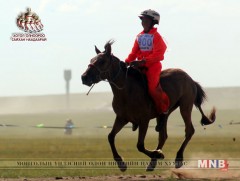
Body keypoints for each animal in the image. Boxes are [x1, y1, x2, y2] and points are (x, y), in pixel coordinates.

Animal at [81, 40, 217, 172]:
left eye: (102, 61)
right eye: (91, 60)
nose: (84, 77)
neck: (127, 90)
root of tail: (190, 79)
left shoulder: (144, 120)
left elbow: (140, 145)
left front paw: (158, 154)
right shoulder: (122, 118)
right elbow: (110, 137)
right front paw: (121, 164)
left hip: (185, 106)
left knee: (189, 130)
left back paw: (178, 158)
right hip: (164, 113)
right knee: (163, 136)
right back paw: (152, 163)